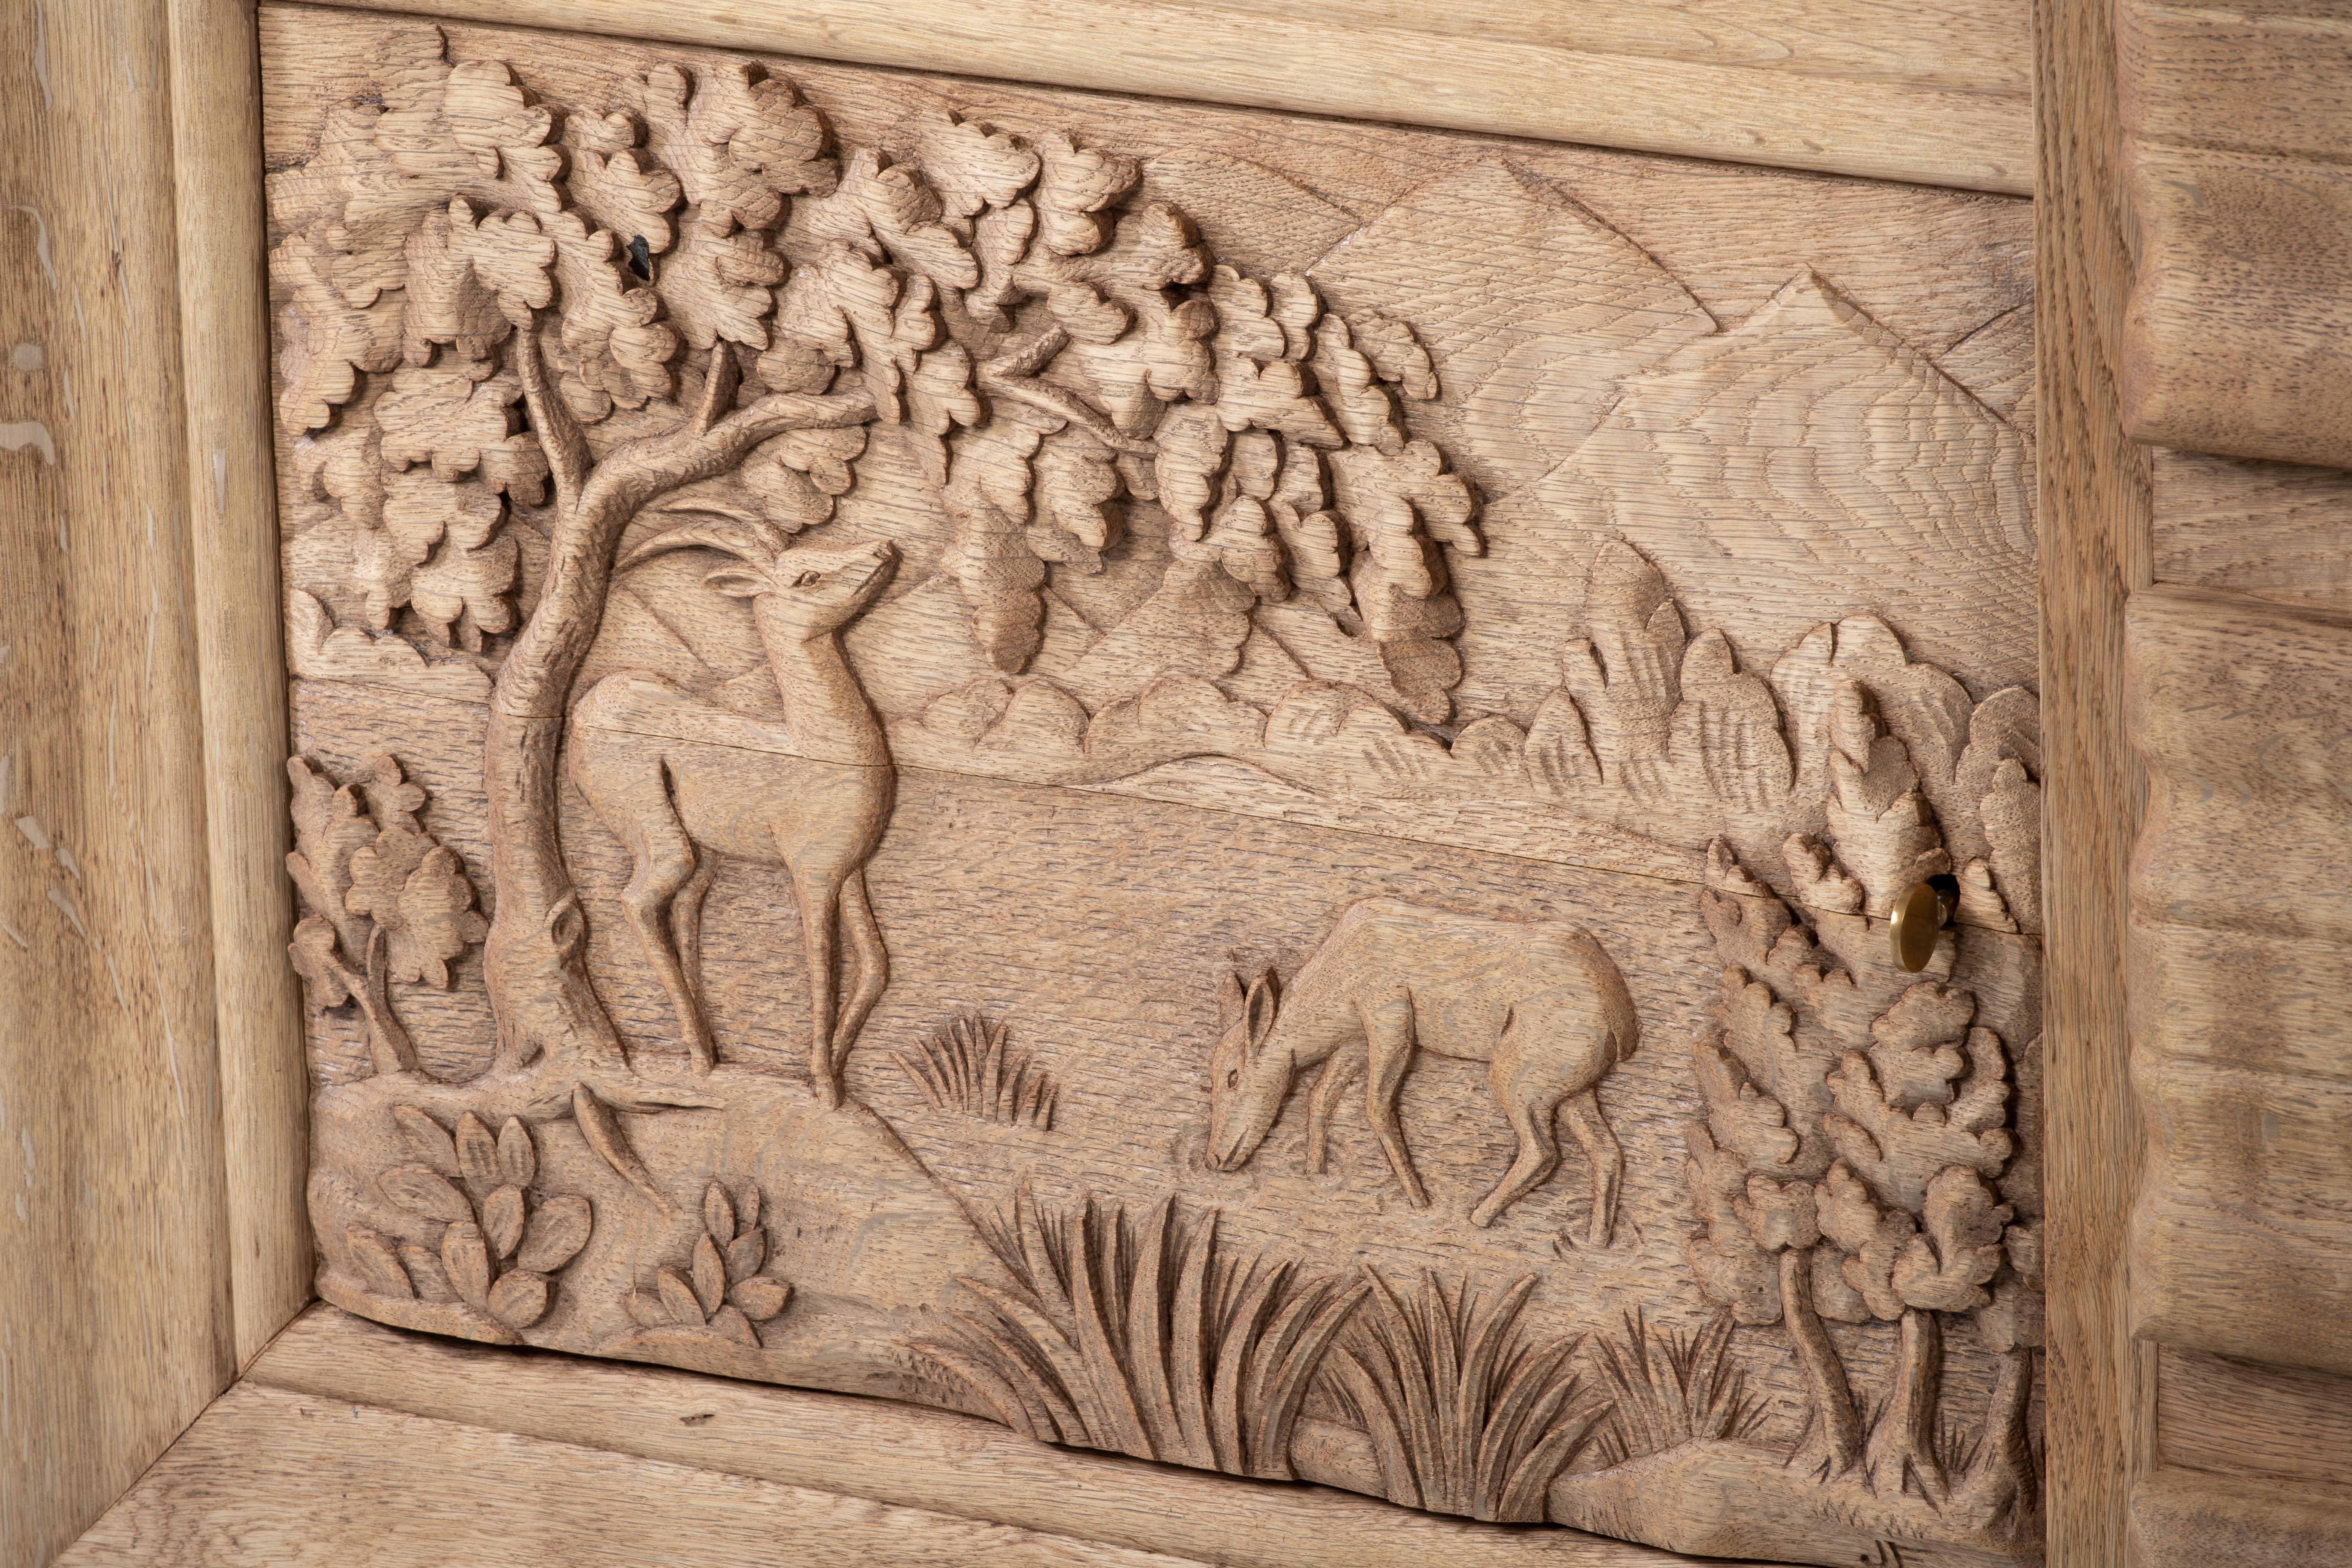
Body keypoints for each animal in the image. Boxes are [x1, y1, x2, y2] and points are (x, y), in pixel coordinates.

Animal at [569, 514, 898, 1105]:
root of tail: (590, 702)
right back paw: (698, 1056)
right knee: (637, 901)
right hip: (661, 837)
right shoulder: (811, 874)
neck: (815, 745)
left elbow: (875, 966)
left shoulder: (852, 870)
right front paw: (825, 1087)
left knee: (683, 909)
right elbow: (822, 970)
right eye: (807, 576)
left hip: (706, 857)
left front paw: (838, 1066)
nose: (884, 548)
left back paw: (709, 1057)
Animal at [1213, 902, 1637, 1241]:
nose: (1215, 1160)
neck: (1337, 975)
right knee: (1607, 1152)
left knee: (1543, 1152)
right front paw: (1316, 1174)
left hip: (1518, 1080)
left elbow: (1377, 1107)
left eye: (1233, 1077)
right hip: (1571, 1091)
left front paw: (1420, 1201)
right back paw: (1597, 1242)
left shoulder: (1390, 1021)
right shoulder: (1355, 1042)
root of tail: (1622, 1021)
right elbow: (1322, 1095)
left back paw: (1479, 1217)